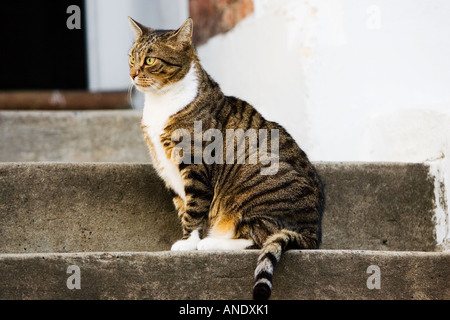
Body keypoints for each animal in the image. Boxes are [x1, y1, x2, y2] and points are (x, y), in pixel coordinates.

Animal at [128, 16, 326, 298]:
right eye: (131, 58)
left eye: (150, 60)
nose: (132, 74)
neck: (160, 102)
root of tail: (313, 232)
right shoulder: (167, 170)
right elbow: (183, 206)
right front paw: (190, 238)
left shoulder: (195, 164)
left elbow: (194, 208)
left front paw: (187, 243)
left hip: (255, 173)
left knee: (261, 237)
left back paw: (211, 243)